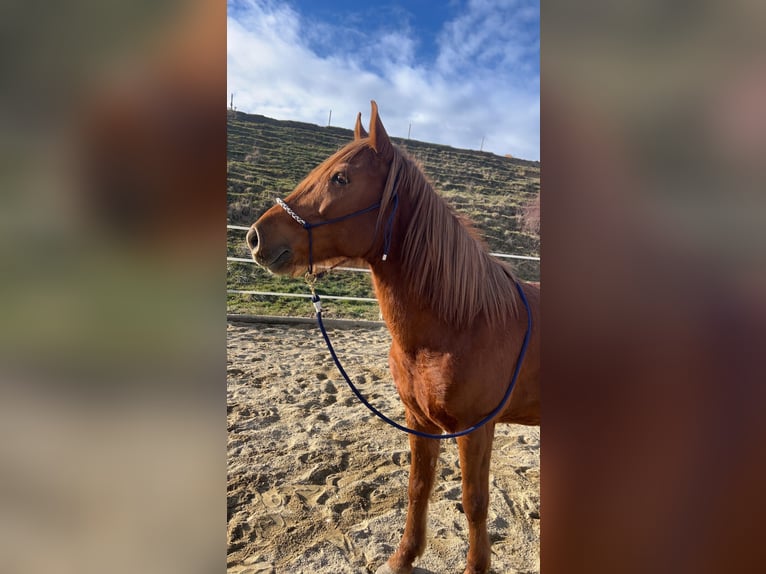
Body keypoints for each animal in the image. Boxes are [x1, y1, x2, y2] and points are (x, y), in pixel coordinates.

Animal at [246, 102, 540, 574]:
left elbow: (475, 502)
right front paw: (403, 557)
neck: (460, 322)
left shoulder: (476, 428)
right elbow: (418, 487)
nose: (254, 237)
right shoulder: (418, 421)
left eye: (340, 178)